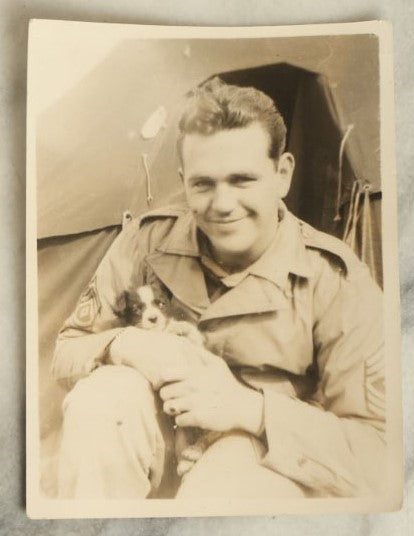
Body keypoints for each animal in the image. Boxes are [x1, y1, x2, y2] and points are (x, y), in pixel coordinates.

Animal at [112, 286, 217, 476]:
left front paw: (179, 327)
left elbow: (192, 336)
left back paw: (194, 452)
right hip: (182, 434)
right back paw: (187, 460)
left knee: (209, 436)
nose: (153, 318)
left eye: (161, 304)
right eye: (137, 309)